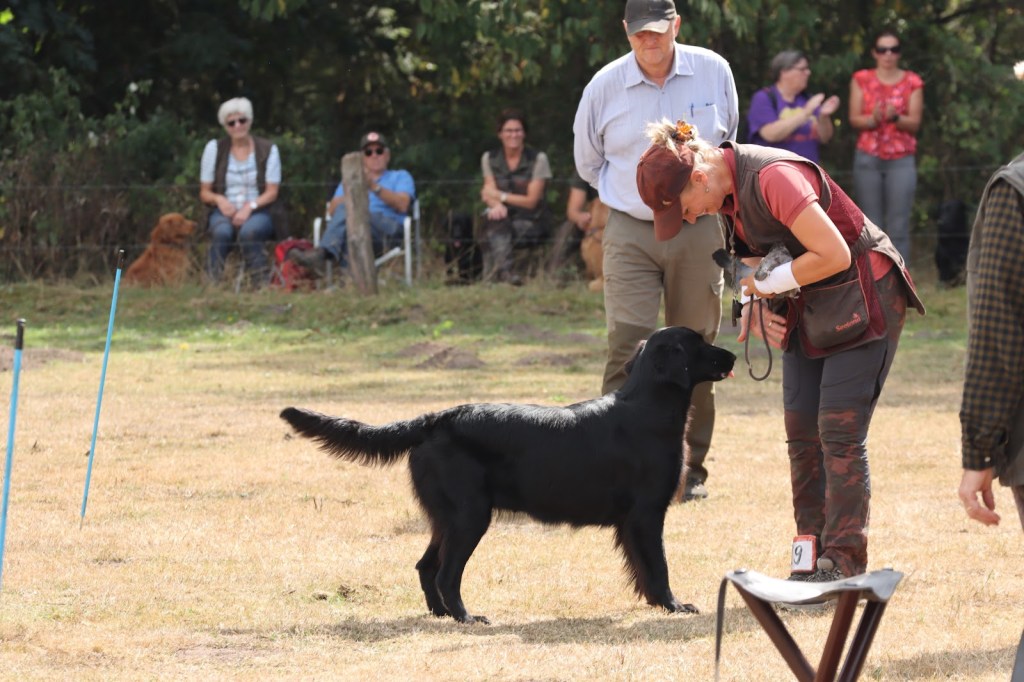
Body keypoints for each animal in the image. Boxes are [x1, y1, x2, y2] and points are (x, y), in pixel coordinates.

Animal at [281, 326, 736, 624]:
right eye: (699, 343)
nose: (733, 356)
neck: (647, 407)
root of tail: (435, 419)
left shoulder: (633, 520)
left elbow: (643, 569)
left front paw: (659, 604)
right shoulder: (646, 513)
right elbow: (658, 566)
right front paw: (674, 606)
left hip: (448, 517)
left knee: (426, 566)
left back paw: (441, 615)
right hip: (470, 515)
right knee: (446, 573)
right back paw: (467, 618)